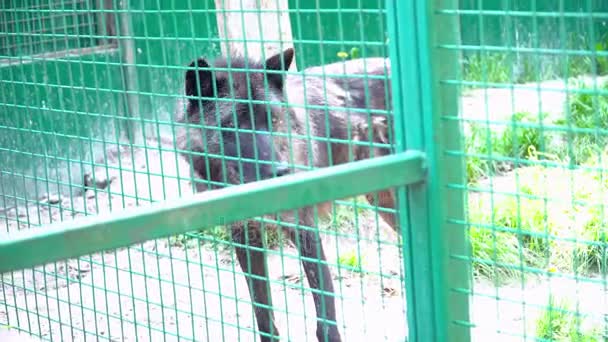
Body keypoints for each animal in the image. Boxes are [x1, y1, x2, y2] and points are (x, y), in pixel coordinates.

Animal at [176, 48, 394, 342]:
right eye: (233, 125)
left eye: (273, 119)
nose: (281, 171)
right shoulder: (245, 237)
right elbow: (263, 316)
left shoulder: (305, 230)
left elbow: (325, 318)